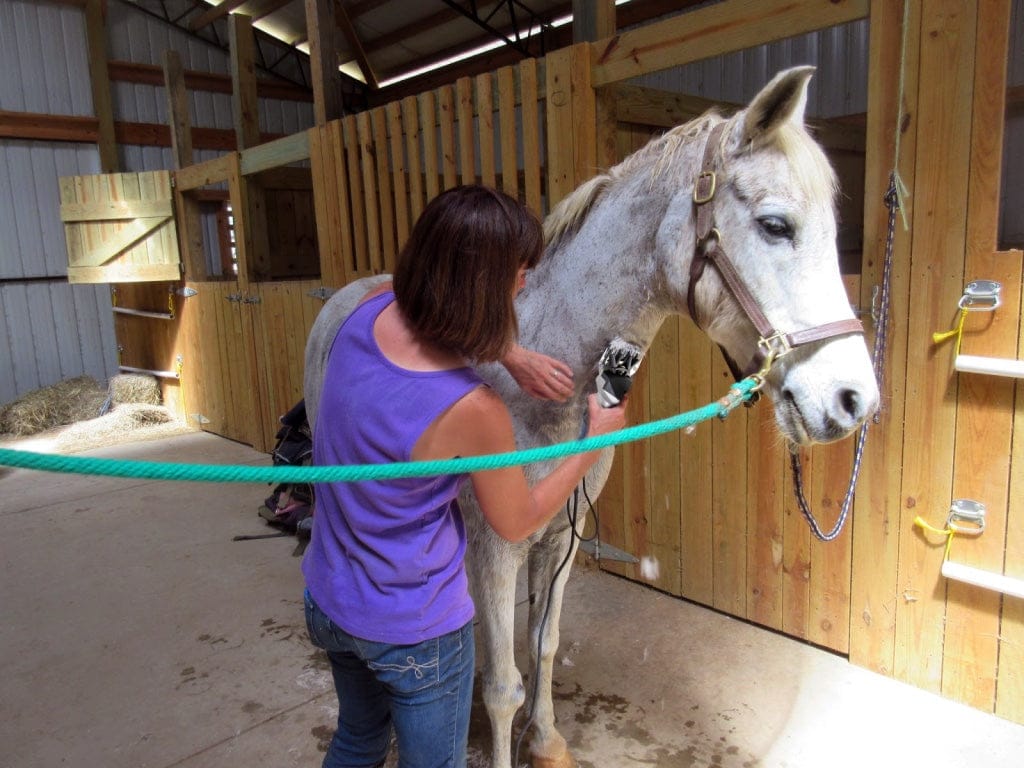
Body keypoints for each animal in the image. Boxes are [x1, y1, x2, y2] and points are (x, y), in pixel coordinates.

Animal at [304, 66, 880, 768]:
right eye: (775, 225)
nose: (854, 400)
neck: (549, 376)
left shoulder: (560, 538)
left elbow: (544, 643)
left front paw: (547, 739)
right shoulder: (497, 548)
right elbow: (502, 684)